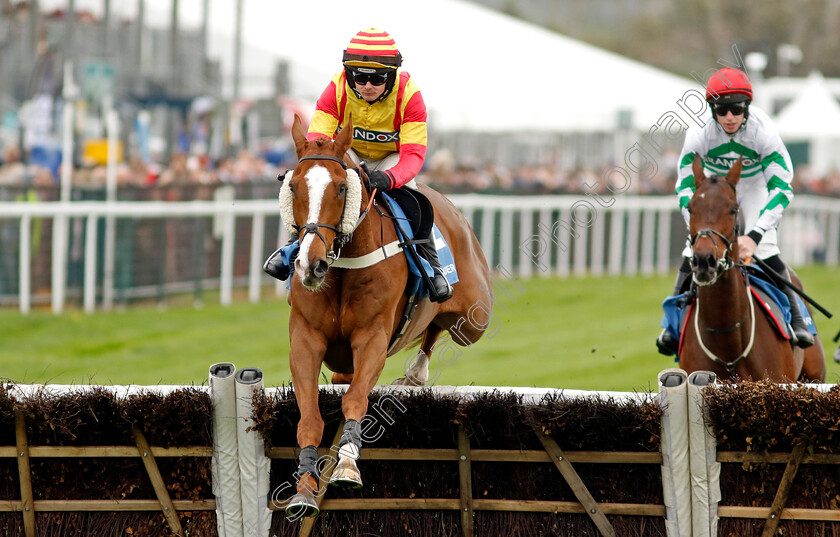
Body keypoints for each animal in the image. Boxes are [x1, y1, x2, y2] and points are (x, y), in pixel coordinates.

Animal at [282, 116, 492, 516]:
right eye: (293, 185)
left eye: (341, 188)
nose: (310, 265)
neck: (342, 266)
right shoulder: (305, 337)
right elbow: (308, 416)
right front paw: (304, 487)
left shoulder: (373, 337)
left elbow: (355, 399)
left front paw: (347, 466)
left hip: (475, 319)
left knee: (440, 325)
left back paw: (416, 372)